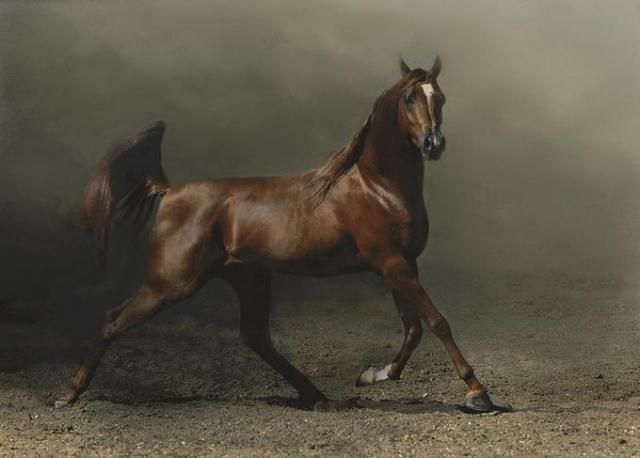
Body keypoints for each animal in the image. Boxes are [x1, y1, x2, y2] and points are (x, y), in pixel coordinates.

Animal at [56, 56, 499, 413]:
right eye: (409, 98)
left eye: (440, 98)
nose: (433, 143)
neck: (378, 186)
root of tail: (170, 191)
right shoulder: (392, 264)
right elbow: (436, 322)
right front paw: (478, 394)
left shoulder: (399, 265)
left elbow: (413, 329)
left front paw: (373, 375)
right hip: (171, 283)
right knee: (112, 320)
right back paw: (68, 396)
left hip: (249, 277)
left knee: (256, 338)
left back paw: (319, 397)